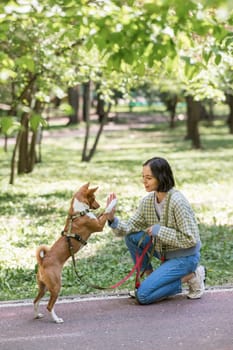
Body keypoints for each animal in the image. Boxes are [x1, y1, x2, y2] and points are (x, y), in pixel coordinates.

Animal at [33, 183, 116, 322]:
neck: (78, 212)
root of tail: (42, 261)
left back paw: (37, 315)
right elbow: (106, 211)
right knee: (49, 306)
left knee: (35, 301)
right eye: (93, 198)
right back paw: (56, 319)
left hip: (43, 287)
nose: (98, 205)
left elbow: (102, 213)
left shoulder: (97, 220)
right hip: (56, 286)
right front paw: (113, 202)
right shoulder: (99, 226)